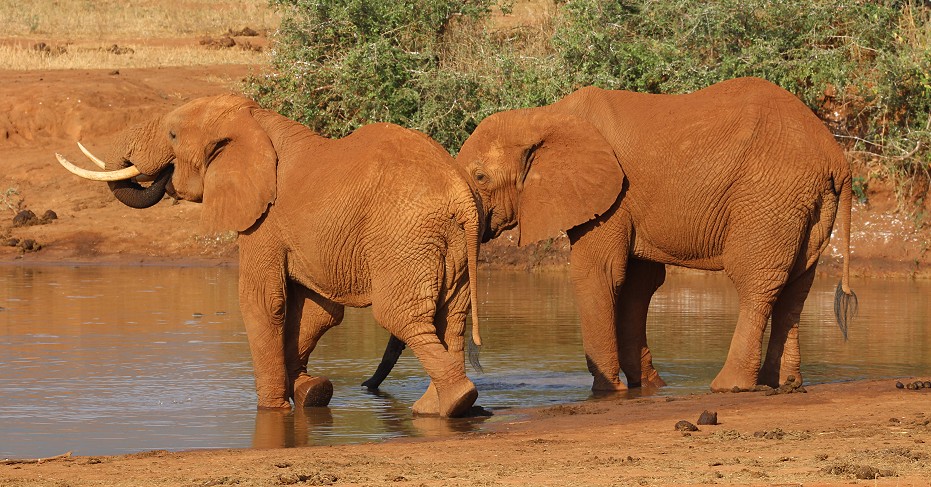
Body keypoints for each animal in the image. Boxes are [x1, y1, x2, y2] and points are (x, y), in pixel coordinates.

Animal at [56, 93, 488, 418]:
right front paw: (312, 392)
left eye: (174, 135)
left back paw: (452, 403)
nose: (163, 175)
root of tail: (461, 195)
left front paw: (273, 409)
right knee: (450, 319)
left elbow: (262, 301)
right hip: (449, 245)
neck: (256, 119)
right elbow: (317, 311)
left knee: (399, 315)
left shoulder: (264, 219)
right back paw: (440, 408)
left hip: (403, 237)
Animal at [364, 77, 860, 396]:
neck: (544, 117)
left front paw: (608, 390)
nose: (366, 389)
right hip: (806, 204)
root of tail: (836, 156)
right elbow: (639, 284)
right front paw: (647, 386)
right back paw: (786, 384)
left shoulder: (612, 197)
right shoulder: (628, 202)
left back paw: (730, 387)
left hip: (770, 195)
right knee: (796, 285)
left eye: (481, 177)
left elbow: (598, 273)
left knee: (757, 281)